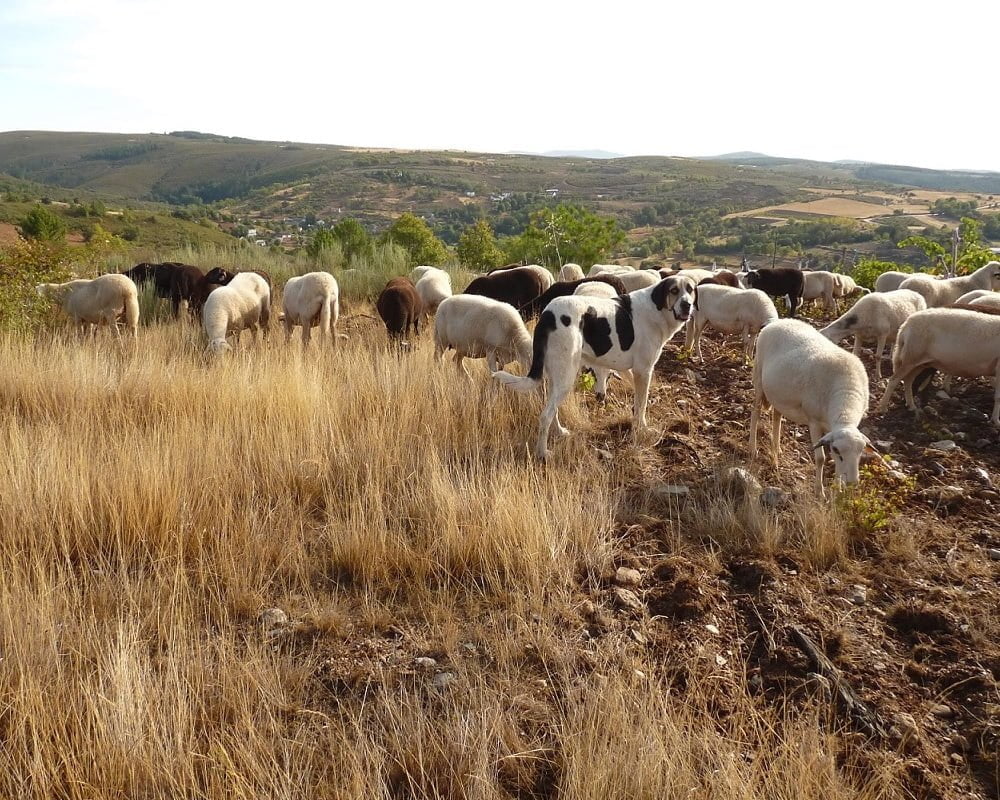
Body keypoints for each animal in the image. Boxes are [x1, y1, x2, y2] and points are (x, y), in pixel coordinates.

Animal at [494, 276, 696, 460]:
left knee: (551, 409)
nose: (687, 305)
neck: (657, 309)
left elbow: (637, 400)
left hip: (558, 376)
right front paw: (642, 430)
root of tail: (548, 314)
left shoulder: (629, 370)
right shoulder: (643, 371)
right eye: (674, 290)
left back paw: (559, 432)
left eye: (690, 289)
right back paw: (542, 453)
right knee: (545, 416)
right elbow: (641, 404)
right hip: (567, 377)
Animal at [748, 318, 872, 494]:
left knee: (777, 416)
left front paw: (837, 491)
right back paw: (753, 449)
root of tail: (778, 321)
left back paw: (776, 450)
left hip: (779, 394)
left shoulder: (830, 429)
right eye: (837, 450)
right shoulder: (814, 421)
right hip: (758, 378)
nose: (852, 483)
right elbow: (820, 458)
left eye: (861, 451)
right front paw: (820, 491)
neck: (846, 393)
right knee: (756, 412)